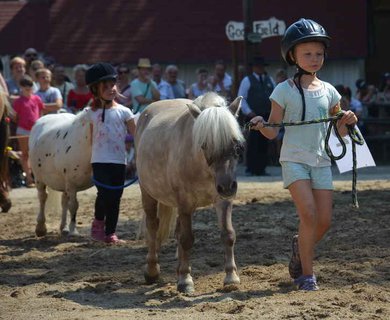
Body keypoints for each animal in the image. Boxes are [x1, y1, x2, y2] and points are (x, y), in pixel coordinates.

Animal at [134, 92, 244, 292]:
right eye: (204, 144)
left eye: (236, 143)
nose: (227, 186)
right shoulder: (184, 203)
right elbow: (186, 239)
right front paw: (185, 280)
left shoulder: (222, 201)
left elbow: (228, 234)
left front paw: (231, 277)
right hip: (148, 193)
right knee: (153, 227)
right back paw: (152, 271)